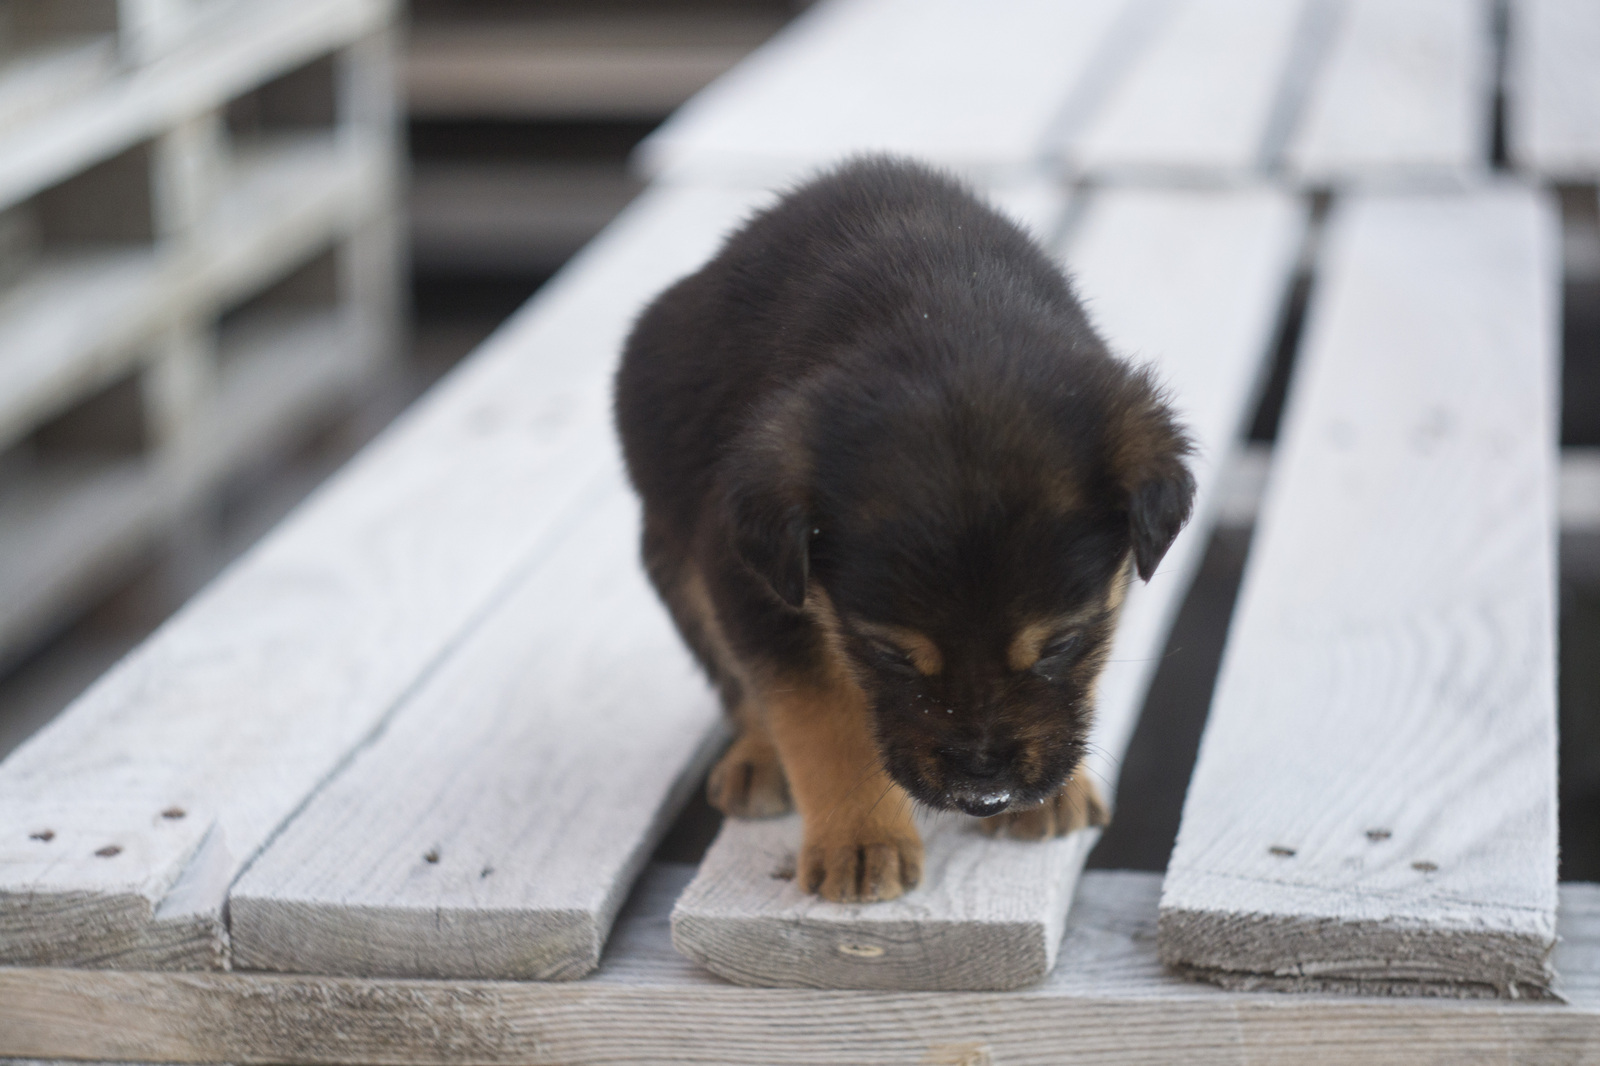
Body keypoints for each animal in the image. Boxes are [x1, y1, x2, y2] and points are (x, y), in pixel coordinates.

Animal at [617, 157, 1196, 902]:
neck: (941, 310)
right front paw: (862, 843)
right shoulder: (749, 585)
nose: (984, 791)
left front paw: (1055, 796)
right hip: (676, 558)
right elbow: (818, 714)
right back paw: (757, 758)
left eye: (1062, 642)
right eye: (888, 653)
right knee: (739, 686)